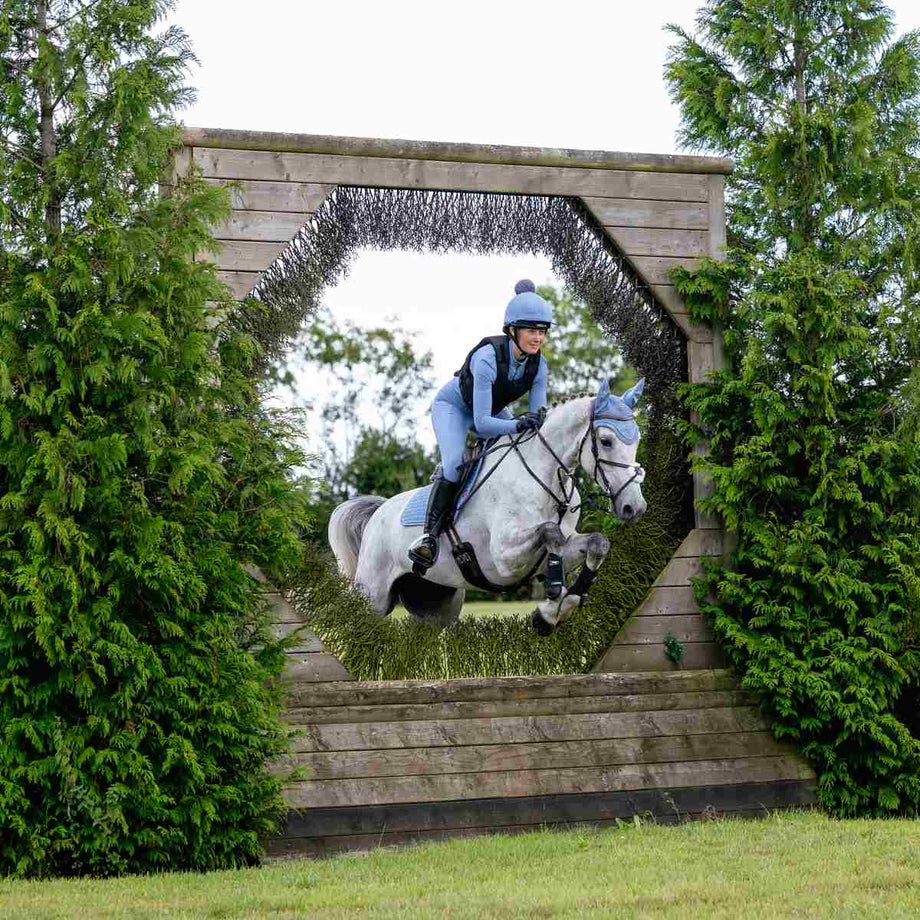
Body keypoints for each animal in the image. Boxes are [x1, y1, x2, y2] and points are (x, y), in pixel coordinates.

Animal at [328, 379, 647, 633]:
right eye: (606, 441)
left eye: (636, 441)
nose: (634, 507)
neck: (546, 475)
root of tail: (378, 513)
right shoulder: (503, 558)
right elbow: (550, 532)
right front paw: (551, 605)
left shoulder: (554, 552)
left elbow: (597, 543)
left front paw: (552, 612)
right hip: (373, 596)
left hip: (437, 605)